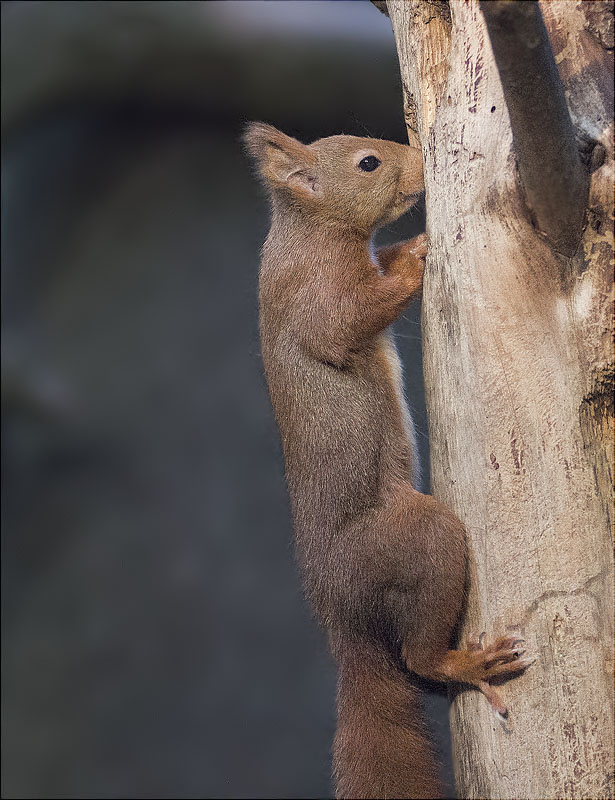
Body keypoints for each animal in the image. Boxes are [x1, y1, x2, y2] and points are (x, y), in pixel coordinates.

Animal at [245, 122, 536, 796]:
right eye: (369, 164)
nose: (419, 160)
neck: (306, 234)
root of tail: (346, 622)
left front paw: (405, 251)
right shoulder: (315, 297)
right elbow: (344, 325)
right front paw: (414, 261)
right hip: (412, 543)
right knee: (419, 654)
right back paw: (466, 660)